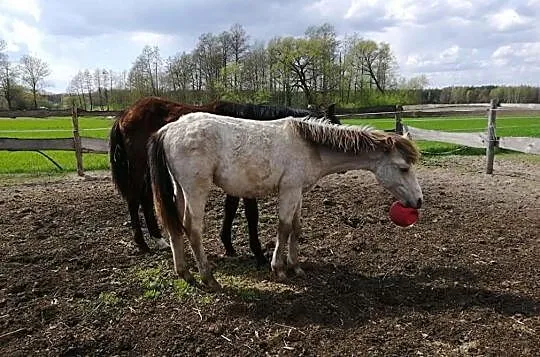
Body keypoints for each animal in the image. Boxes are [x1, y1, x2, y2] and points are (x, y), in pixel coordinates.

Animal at [109, 96, 338, 266]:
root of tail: (125, 114)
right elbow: (251, 214)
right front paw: (257, 253)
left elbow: (230, 208)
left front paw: (228, 245)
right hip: (138, 169)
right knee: (134, 200)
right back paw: (142, 243)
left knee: (146, 200)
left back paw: (158, 239)